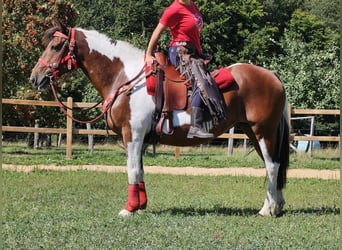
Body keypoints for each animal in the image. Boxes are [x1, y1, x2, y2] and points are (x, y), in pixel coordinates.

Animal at [30, 20, 290, 218]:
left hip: (263, 132)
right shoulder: (138, 138)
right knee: (271, 166)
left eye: (56, 46)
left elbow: (132, 170)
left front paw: (128, 209)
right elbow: (140, 171)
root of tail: (272, 76)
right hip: (253, 132)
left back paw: (268, 210)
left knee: (272, 166)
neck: (125, 79)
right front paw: (140, 206)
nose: (35, 78)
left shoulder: (132, 134)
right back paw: (273, 206)